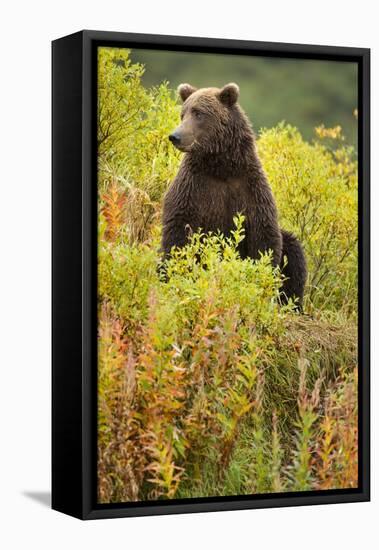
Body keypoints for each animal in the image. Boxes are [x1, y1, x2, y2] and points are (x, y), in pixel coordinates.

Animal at [162, 82, 308, 308]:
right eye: (182, 113)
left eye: (198, 113)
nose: (175, 136)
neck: (222, 167)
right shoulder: (193, 186)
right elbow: (179, 228)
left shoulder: (250, 188)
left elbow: (263, 237)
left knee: (294, 251)